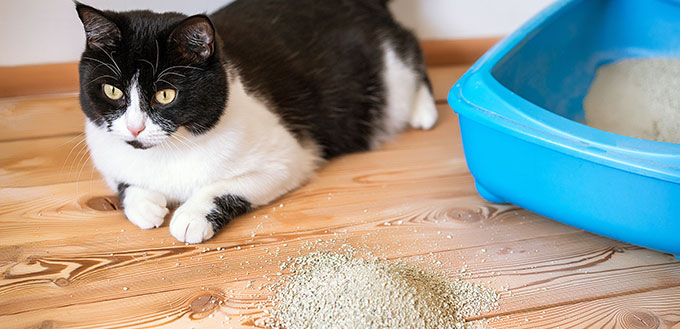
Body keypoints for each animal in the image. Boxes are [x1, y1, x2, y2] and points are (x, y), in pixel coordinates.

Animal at [74, 0, 436, 241]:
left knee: (411, 47)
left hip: (391, 72)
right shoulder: (107, 154)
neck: (167, 154)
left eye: (165, 95)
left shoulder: (286, 158)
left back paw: (424, 111)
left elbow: (224, 187)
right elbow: (123, 182)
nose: (135, 127)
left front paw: (191, 215)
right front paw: (144, 204)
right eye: (112, 90)